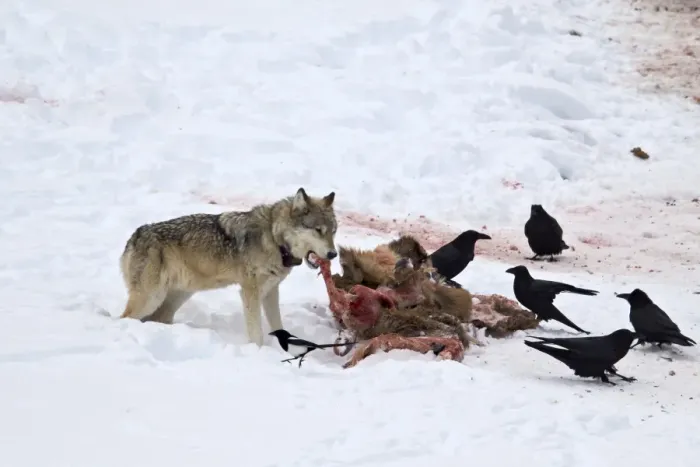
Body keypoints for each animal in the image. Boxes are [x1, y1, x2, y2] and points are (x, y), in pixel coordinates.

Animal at [119, 188, 338, 346]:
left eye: (333, 231)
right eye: (318, 230)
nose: (333, 254)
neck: (274, 238)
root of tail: (134, 236)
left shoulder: (271, 292)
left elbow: (278, 325)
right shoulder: (250, 292)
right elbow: (256, 333)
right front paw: (258, 351)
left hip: (175, 297)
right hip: (151, 298)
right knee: (124, 318)